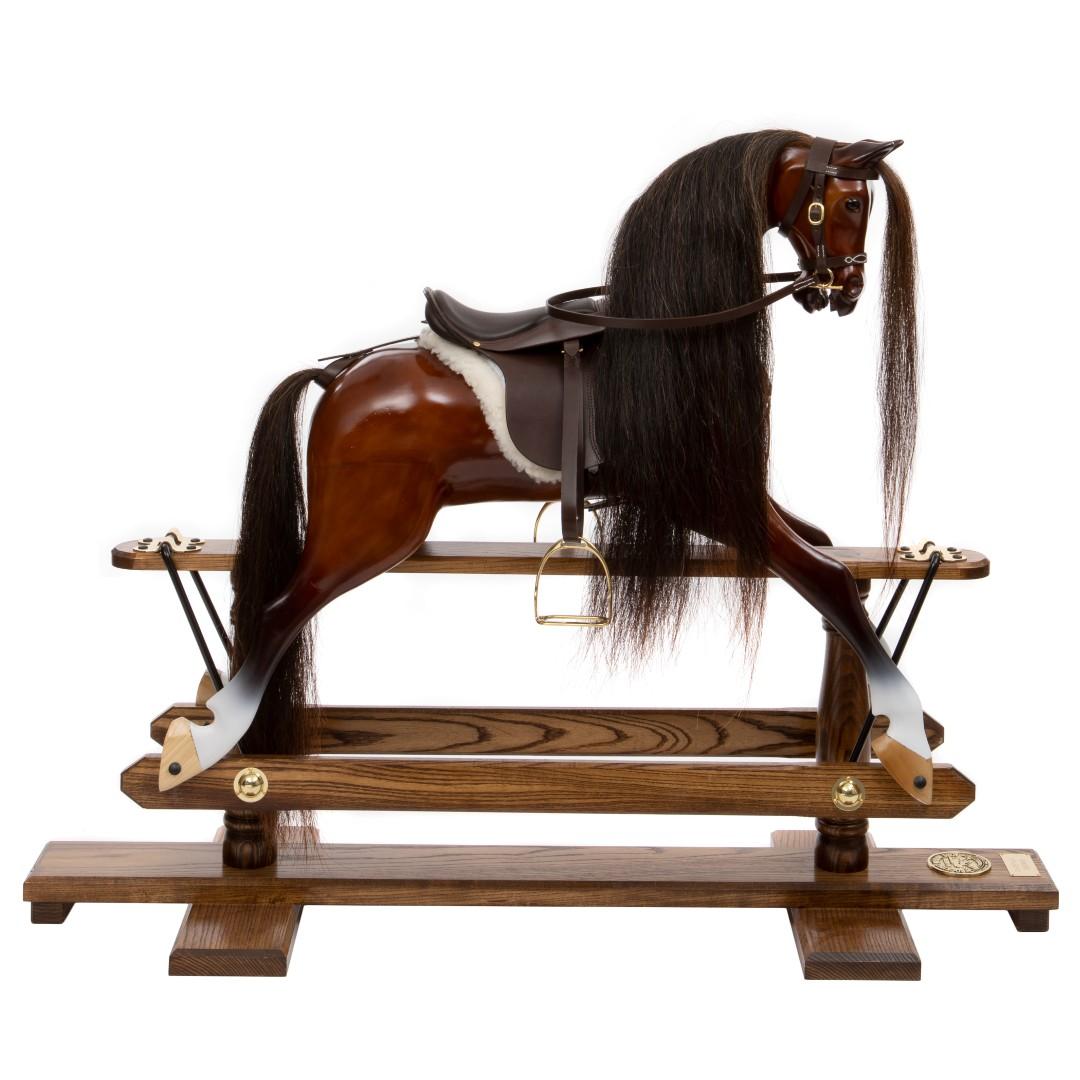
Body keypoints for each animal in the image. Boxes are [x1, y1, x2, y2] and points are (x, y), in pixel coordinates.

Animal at [158, 129, 931, 813]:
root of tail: (336, 377)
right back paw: (209, 747)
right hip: (368, 534)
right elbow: (829, 581)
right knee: (275, 614)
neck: (672, 336)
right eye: (850, 202)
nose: (847, 289)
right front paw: (912, 737)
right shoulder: (701, 496)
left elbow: (826, 554)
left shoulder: (733, 492)